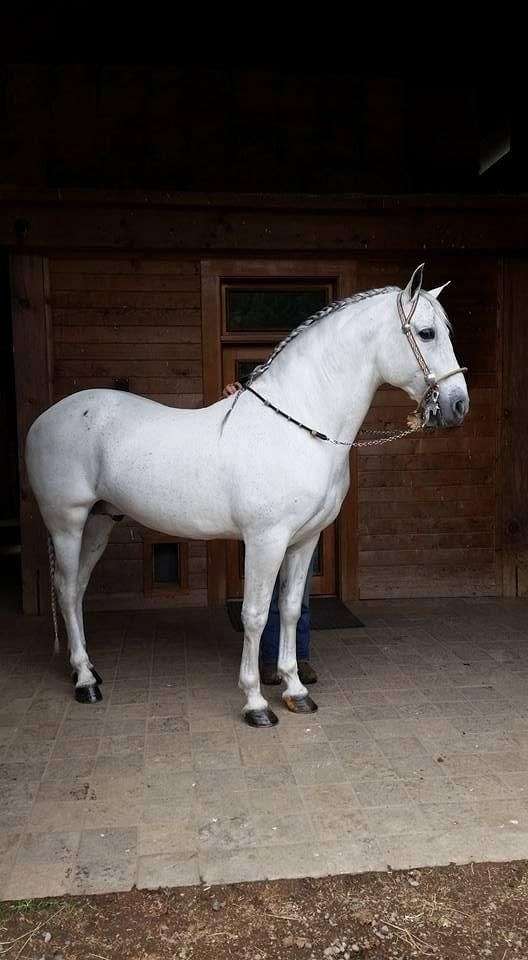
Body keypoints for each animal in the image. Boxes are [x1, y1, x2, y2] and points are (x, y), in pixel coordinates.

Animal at [26, 264, 468, 728]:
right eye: (426, 333)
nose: (458, 406)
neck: (299, 424)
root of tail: (44, 418)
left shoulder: (303, 541)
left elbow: (289, 609)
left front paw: (295, 690)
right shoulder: (265, 540)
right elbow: (254, 615)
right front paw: (256, 702)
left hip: (100, 521)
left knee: (77, 589)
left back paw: (91, 671)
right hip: (67, 523)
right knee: (65, 588)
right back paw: (83, 682)